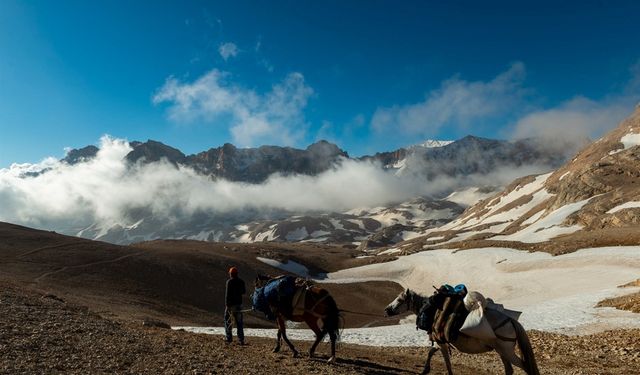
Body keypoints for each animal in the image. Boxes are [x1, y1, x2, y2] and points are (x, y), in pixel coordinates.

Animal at [384, 290, 540, 374]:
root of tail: (511, 321)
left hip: (506, 351)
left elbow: (446, 362)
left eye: (400, 300)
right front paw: (425, 370)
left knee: (525, 367)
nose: (386, 310)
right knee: (509, 369)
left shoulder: (441, 342)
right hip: (502, 351)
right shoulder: (440, 341)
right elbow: (431, 352)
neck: (432, 310)